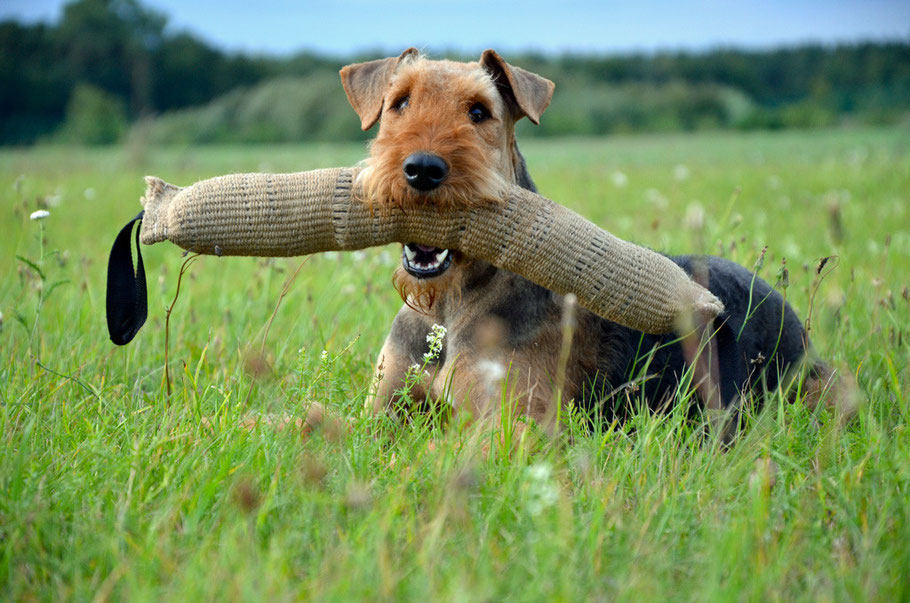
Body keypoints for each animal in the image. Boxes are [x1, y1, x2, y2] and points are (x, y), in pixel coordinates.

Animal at [338, 47, 852, 434]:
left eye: (479, 111)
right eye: (400, 102)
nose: (423, 168)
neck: (448, 308)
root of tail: (782, 305)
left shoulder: (512, 424)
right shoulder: (379, 413)